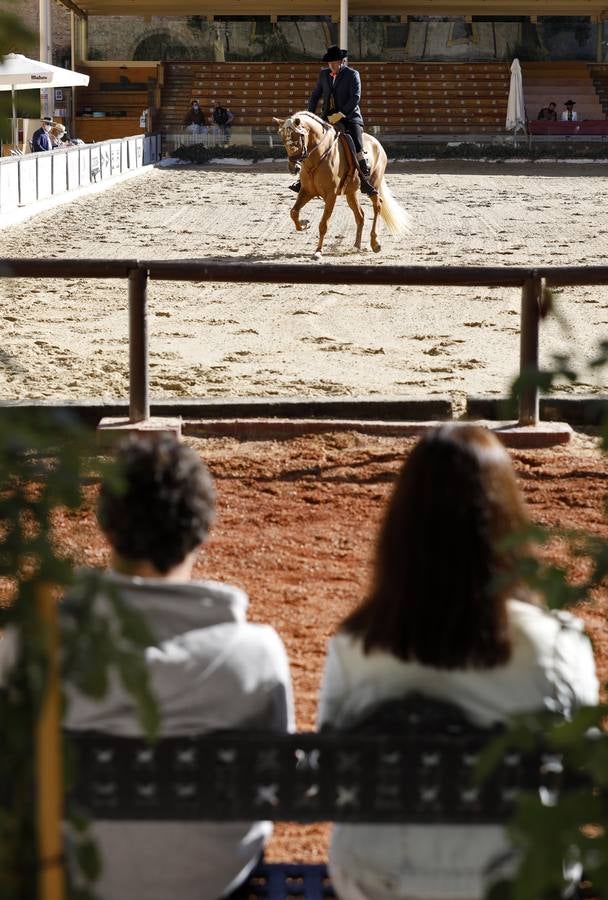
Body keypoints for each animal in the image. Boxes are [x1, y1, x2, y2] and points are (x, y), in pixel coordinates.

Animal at [274, 112, 408, 258]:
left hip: (373, 185)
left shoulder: (331, 195)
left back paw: (375, 243)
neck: (318, 155)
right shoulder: (307, 191)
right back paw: (357, 245)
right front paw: (305, 224)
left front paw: (318, 251)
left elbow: (323, 224)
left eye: (298, 136)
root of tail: (377, 143)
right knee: (360, 215)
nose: (293, 168)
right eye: (282, 138)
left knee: (377, 205)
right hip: (351, 193)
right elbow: (293, 212)